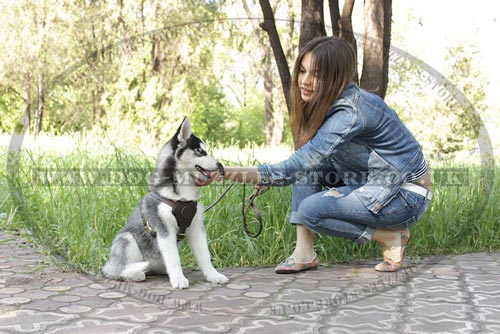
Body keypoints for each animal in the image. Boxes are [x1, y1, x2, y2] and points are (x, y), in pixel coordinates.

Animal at [103, 116, 229, 288]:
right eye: (200, 151)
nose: (220, 165)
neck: (182, 195)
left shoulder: (196, 228)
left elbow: (205, 255)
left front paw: (213, 275)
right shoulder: (164, 230)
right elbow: (174, 258)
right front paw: (179, 279)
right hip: (127, 238)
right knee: (115, 270)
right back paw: (134, 274)